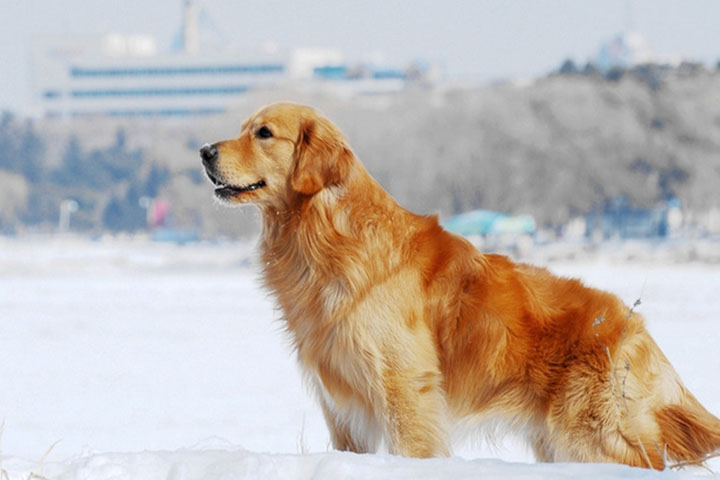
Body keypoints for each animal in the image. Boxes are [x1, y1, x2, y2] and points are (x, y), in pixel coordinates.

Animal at [200, 102, 716, 468]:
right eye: (245, 128)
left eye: (263, 133)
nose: (204, 151)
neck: (328, 236)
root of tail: (636, 328)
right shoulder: (341, 404)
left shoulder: (404, 386)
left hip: (590, 435)